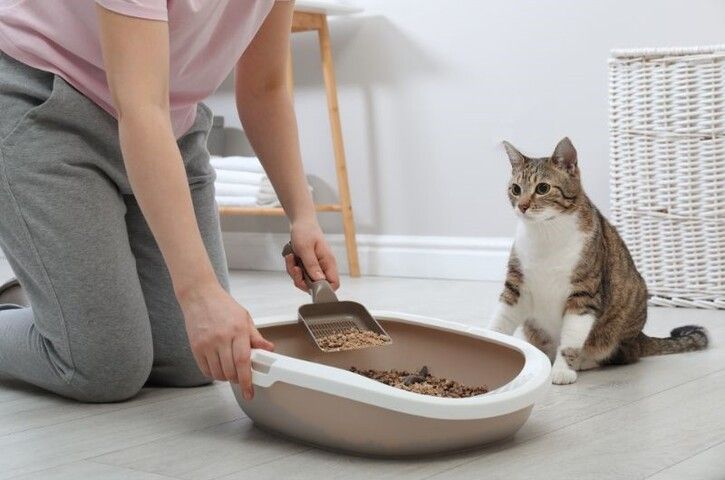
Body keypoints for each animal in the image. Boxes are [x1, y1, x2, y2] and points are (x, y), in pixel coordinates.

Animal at [486, 137, 708, 384]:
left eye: (543, 188)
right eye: (515, 189)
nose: (522, 206)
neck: (545, 233)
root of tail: (641, 337)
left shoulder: (584, 293)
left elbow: (571, 338)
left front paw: (562, 370)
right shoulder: (516, 285)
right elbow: (500, 320)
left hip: (620, 325)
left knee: (622, 354)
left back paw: (584, 361)